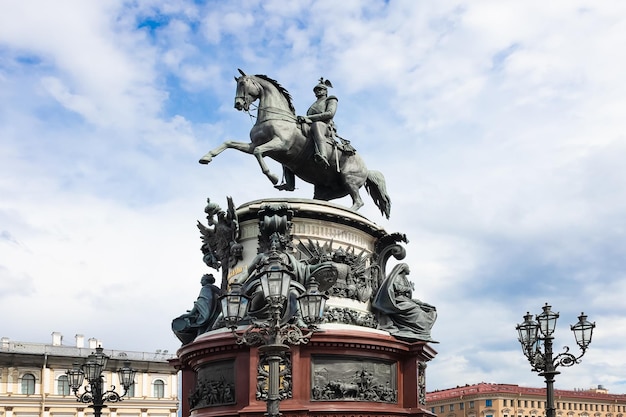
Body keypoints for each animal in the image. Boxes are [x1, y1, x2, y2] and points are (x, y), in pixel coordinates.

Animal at [200, 69, 388, 218]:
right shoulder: (253, 144)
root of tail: (367, 169)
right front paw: (206, 157)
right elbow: (230, 143)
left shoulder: (280, 144)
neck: (274, 116)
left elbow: (258, 152)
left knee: (358, 202)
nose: (238, 104)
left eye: (244, 83)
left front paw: (273, 176)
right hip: (327, 190)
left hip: (349, 180)